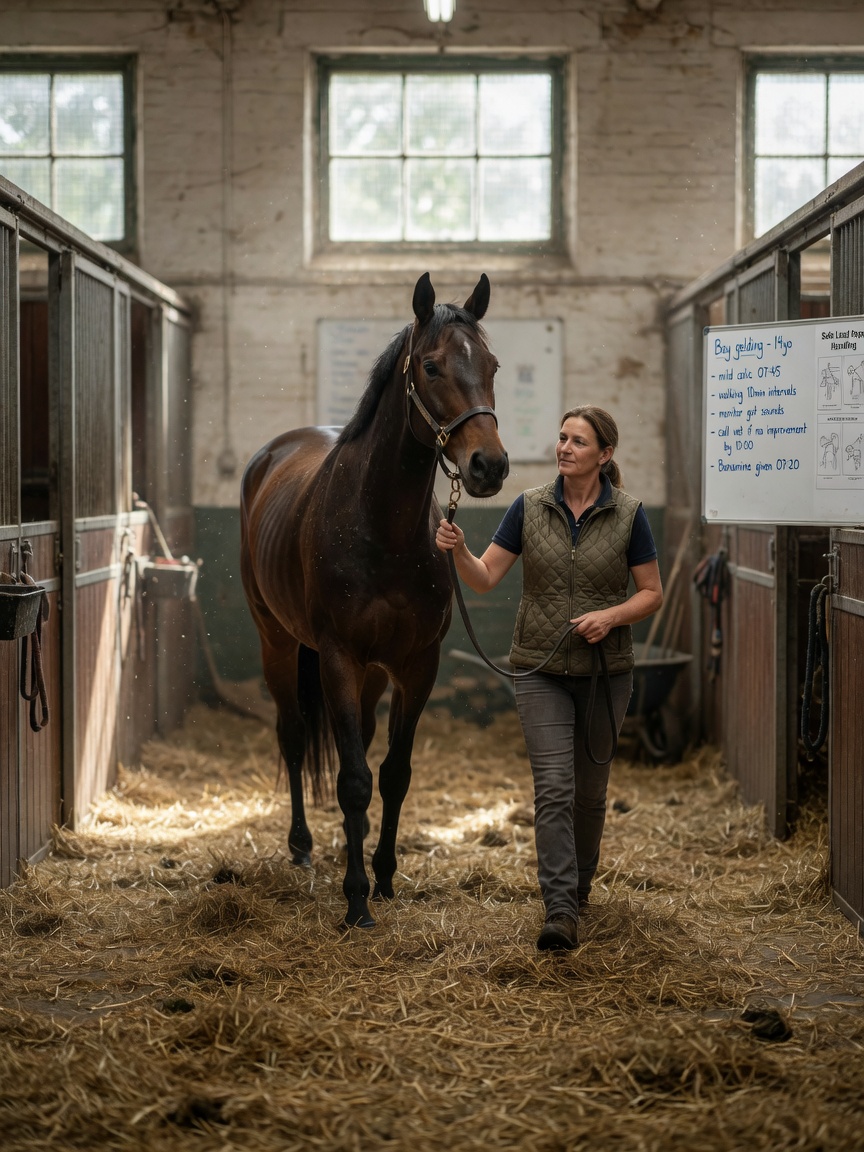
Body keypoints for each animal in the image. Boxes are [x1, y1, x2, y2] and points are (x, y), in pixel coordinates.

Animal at [240, 273, 509, 928]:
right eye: (431, 366)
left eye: (491, 365)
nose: (488, 465)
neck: (381, 527)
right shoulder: (337, 656)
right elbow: (355, 779)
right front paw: (357, 899)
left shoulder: (415, 666)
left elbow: (392, 774)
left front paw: (382, 876)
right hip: (277, 641)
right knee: (293, 735)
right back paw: (303, 846)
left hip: (372, 673)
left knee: (356, 740)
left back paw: (346, 845)